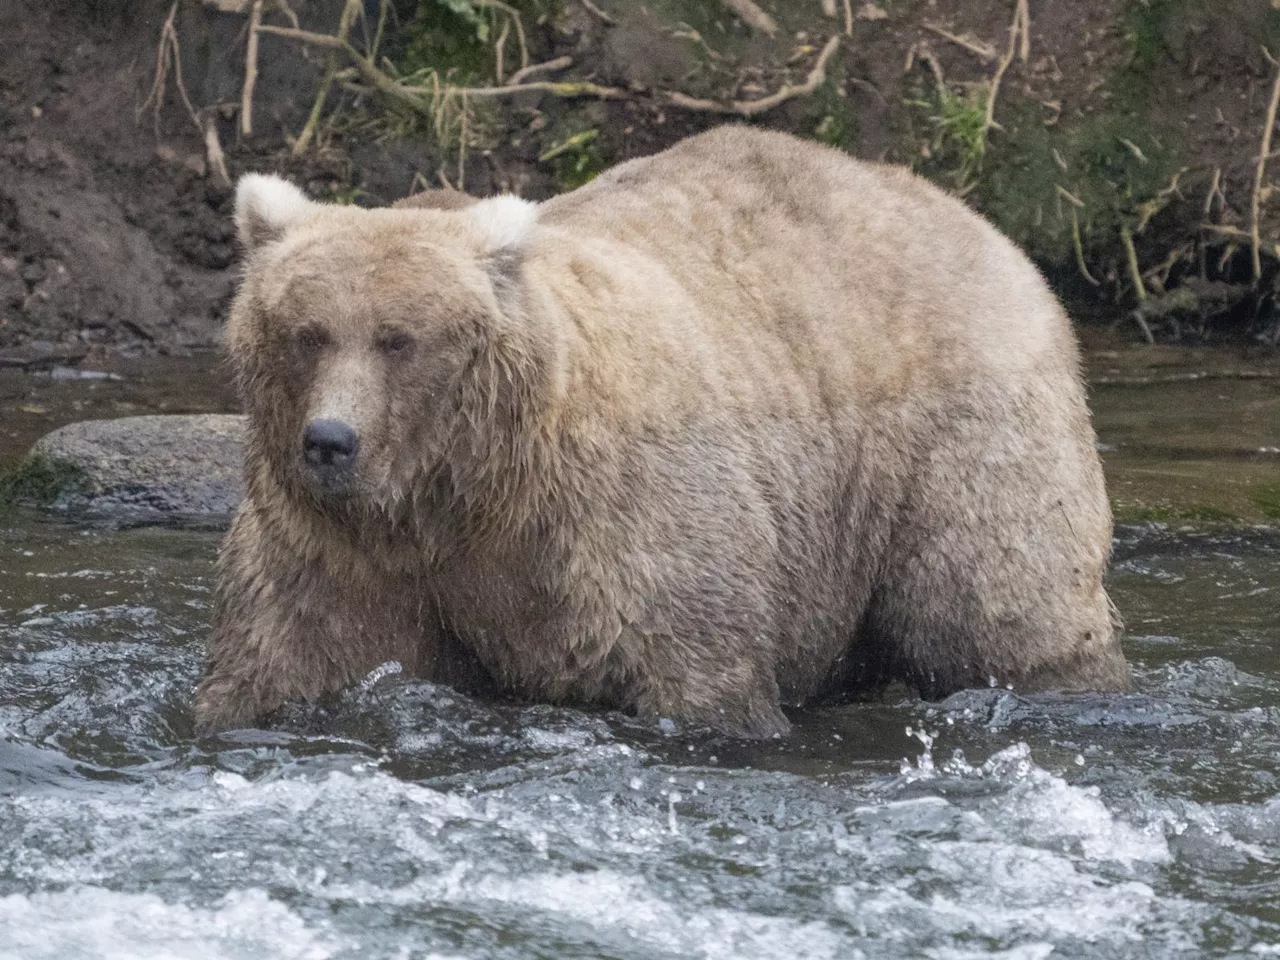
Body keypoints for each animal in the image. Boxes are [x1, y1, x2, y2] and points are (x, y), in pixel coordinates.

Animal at [192, 124, 1131, 742]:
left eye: (399, 338)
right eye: (307, 332)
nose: (330, 440)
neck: (467, 491)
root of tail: (975, 220)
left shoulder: (619, 518)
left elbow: (694, 662)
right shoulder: (340, 547)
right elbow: (288, 656)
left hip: (958, 436)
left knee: (997, 604)